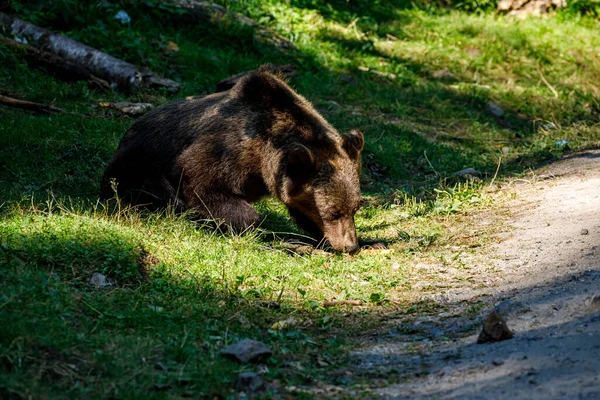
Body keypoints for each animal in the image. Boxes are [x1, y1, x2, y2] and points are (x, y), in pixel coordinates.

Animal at [101, 65, 364, 253]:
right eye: (332, 212)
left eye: (354, 208)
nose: (350, 246)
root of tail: (128, 131)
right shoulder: (225, 149)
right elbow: (204, 185)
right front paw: (267, 234)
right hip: (137, 163)